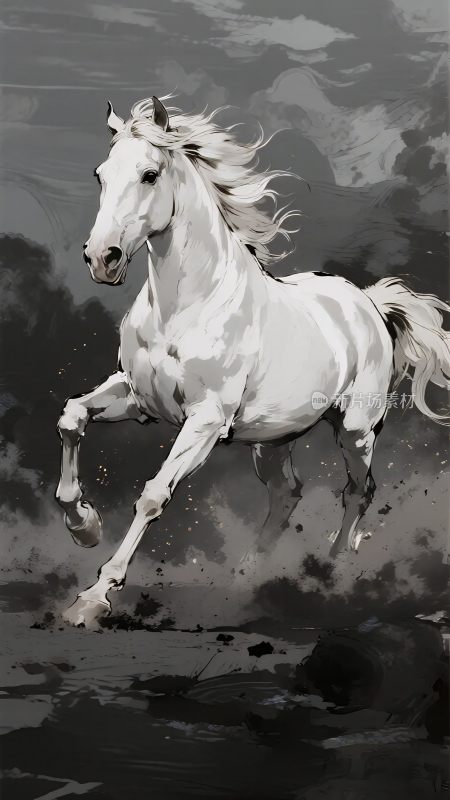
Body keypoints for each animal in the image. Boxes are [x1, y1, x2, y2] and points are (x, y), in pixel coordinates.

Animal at [56, 96, 450, 626]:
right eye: (100, 174)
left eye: (150, 174)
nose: (102, 258)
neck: (186, 309)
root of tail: (368, 302)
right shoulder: (137, 399)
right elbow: (72, 416)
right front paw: (84, 526)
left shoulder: (205, 420)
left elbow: (154, 495)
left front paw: (92, 599)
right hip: (273, 440)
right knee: (286, 495)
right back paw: (244, 581)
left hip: (355, 428)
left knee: (358, 490)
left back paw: (329, 574)